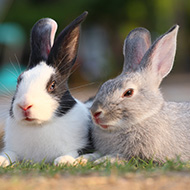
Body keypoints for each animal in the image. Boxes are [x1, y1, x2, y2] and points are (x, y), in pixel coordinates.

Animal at [0, 11, 93, 166]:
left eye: (52, 85)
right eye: (18, 81)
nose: (24, 106)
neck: (38, 125)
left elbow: (75, 152)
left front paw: (64, 161)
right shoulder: (13, 150)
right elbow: (9, 154)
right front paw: (2, 160)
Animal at [81, 24, 190, 163]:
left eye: (128, 92)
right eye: (104, 85)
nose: (95, 112)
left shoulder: (141, 156)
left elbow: (122, 157)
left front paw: (102, 161)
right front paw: (82, 159)